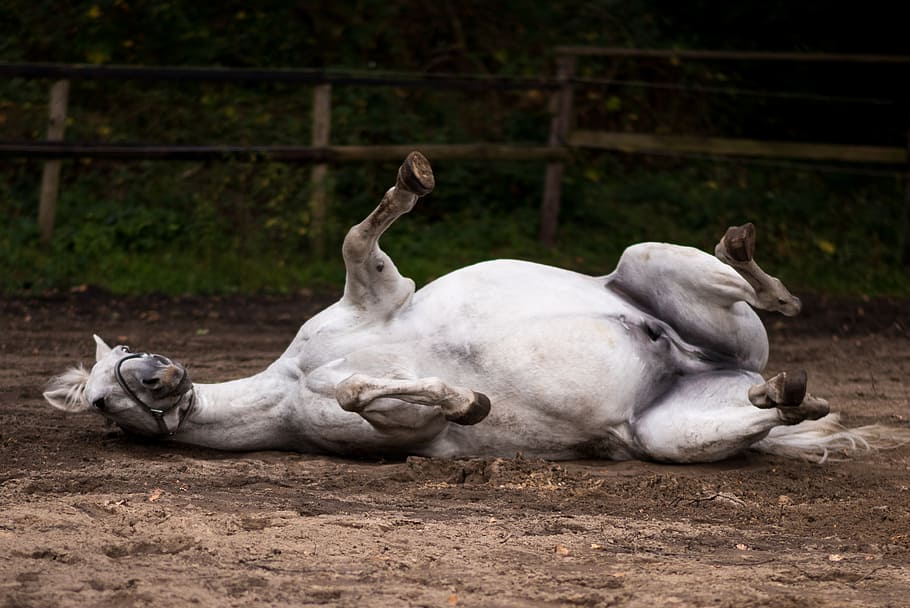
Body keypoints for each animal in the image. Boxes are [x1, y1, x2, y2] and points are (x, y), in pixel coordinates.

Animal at [44, 152, 902, 463]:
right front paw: (466, 402)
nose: (159, 375)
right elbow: (373, 396)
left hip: (649, 263)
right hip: (671, 434)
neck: (286, 388)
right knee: (770, 406)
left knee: (769, 297)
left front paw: (414, 180)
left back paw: (747, 257)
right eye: (103, 400)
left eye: (121, 357)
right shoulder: (380, 426)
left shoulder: (377, 293)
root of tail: (708, 364)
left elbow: (359, 237)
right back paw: (785, 394)